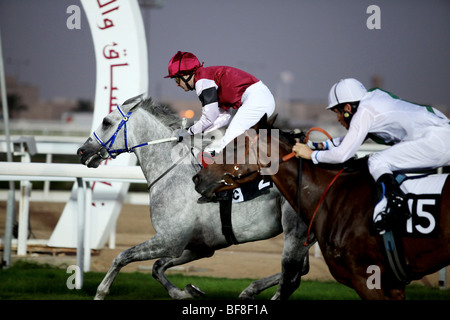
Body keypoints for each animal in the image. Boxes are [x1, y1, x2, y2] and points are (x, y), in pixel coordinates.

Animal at [76, 95, 312, 300]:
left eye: (106, 122)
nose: (81, 151)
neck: (174, 173)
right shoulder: (198, 246)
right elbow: (156, 267)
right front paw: (187, 292)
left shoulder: (170, 240)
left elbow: (121, 257)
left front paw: (100, 293)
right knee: (300, 270)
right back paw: (249, 290)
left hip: (295, 231)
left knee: (292, 277)